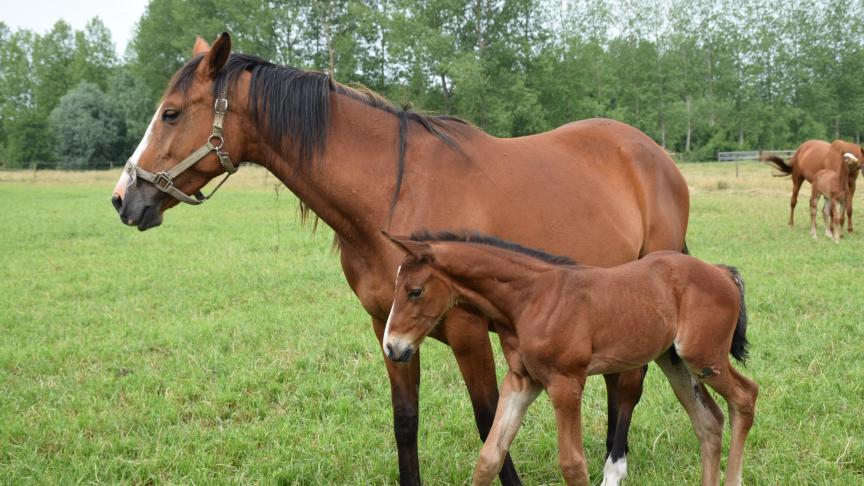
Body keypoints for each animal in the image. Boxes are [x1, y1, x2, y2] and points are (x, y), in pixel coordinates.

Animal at [109, 32, 688, 484]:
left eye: (171, 114)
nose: (123, 198)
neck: (395, 194)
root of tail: (653, 154)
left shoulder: (468, 331)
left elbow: (489, 423)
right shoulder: (388, 329)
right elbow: (405, 421)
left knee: (629, 385)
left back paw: (614, 468)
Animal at [380, 232, 756, 486]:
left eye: (414, 291)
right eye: (396, 288)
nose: (393, 348)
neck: (531, 299)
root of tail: (721, 272)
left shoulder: (566, 383)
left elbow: (572, 464)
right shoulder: (522, 381)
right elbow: (489, 457)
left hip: (704, 356)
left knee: (745, 396)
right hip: (675, 360)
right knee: (710, 421)